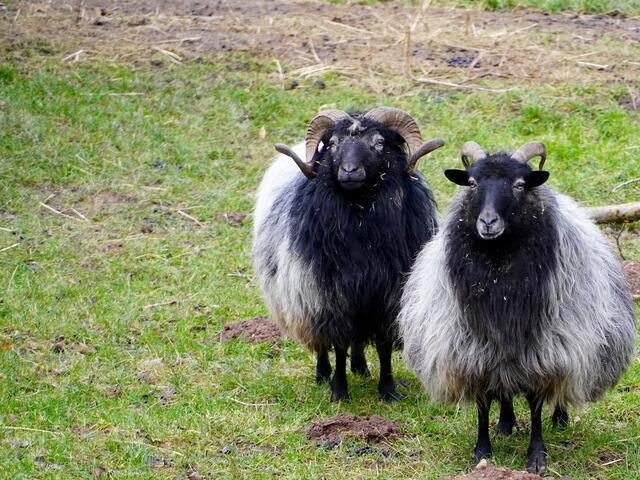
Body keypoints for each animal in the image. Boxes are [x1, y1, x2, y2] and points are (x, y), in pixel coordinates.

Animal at [253, 107, 444, 402]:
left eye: (379, 142)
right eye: (332, 144)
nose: (350, 171)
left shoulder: (387, 297)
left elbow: (384, 346)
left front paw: (388, 390)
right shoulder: (330, 299)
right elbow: (339, 346)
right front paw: (339, 390)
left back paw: (361, 367)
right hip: (307, 299)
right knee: (322, 343)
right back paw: (323, 374)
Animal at [399, 141, 637, 474]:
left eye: (520, 184)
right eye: (472, 183)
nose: (487, 222)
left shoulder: (546, 350)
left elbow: (536, 403)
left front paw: (537, 456)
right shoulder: (471, 351)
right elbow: (483, 403)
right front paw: (482, 451)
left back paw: (560, 418)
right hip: (501, 355)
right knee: (503, 389)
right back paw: (505, 423)